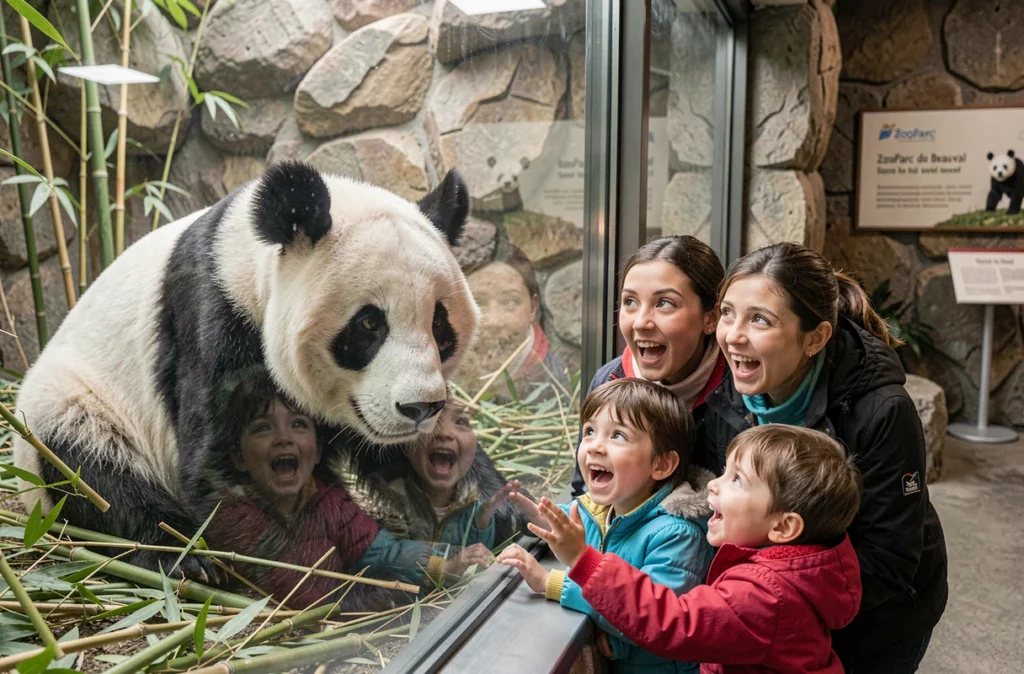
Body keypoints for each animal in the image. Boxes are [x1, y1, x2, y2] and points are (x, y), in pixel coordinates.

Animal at [13, 161, 479, 581]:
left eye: (439, 325)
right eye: (368, 325)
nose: (419, 408)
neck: (245, 258)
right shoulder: (214, 323)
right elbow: (222, 468)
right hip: (71, 404)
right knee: (95, 474)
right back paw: (182, 556)